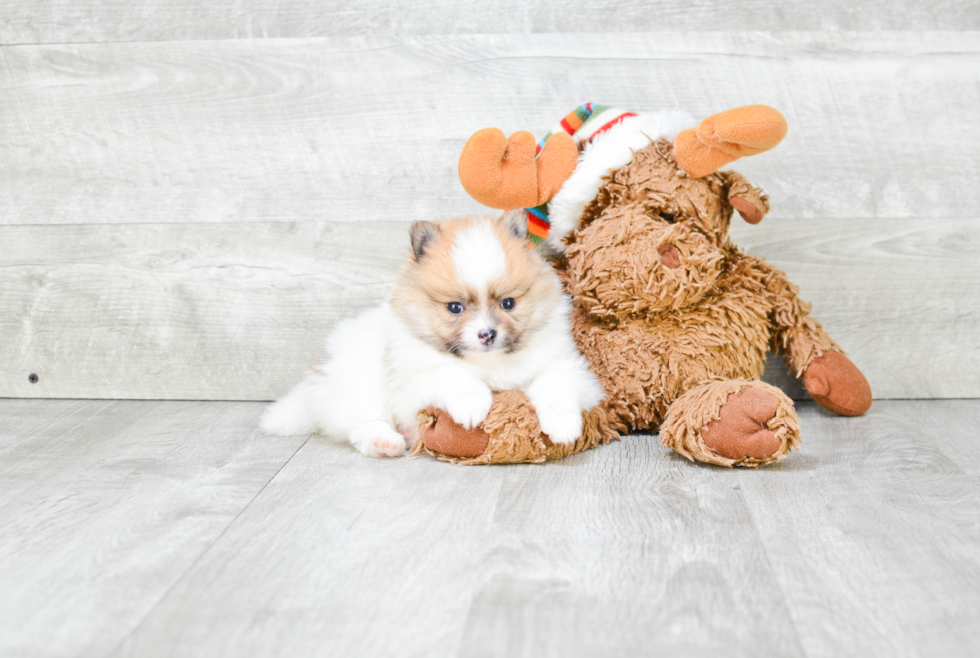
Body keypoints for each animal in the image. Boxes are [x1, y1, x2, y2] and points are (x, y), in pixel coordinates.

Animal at [264, 215, 608, 456]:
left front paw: (563, 426)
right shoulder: (412, 384)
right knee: (363, 422)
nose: (486, 334)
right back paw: (385, 443)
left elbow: (556, 386)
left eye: (508, 303)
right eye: (455, 307)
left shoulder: (570, 368)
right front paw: (472, 406)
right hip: (358, 381)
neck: (488, 364)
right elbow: (450, 374)